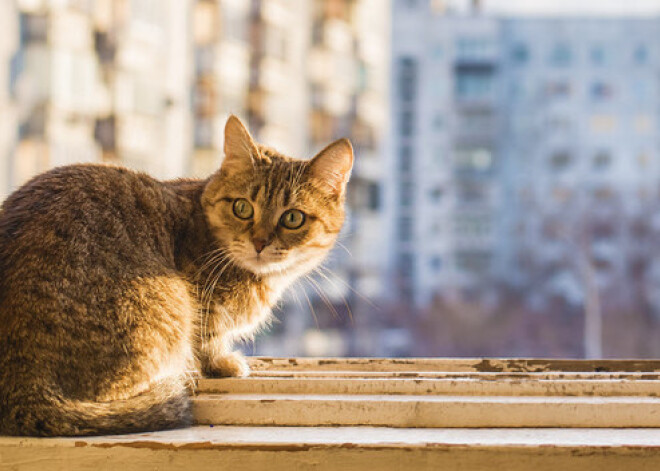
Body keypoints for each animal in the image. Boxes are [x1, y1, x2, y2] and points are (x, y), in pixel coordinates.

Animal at [0, 116, 354, 436]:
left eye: (293, 218)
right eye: (242, 207)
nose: (260, 242)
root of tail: (22, 390)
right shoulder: (202, 305)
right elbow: (208, 338)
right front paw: (221, 363)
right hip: (168, 303)